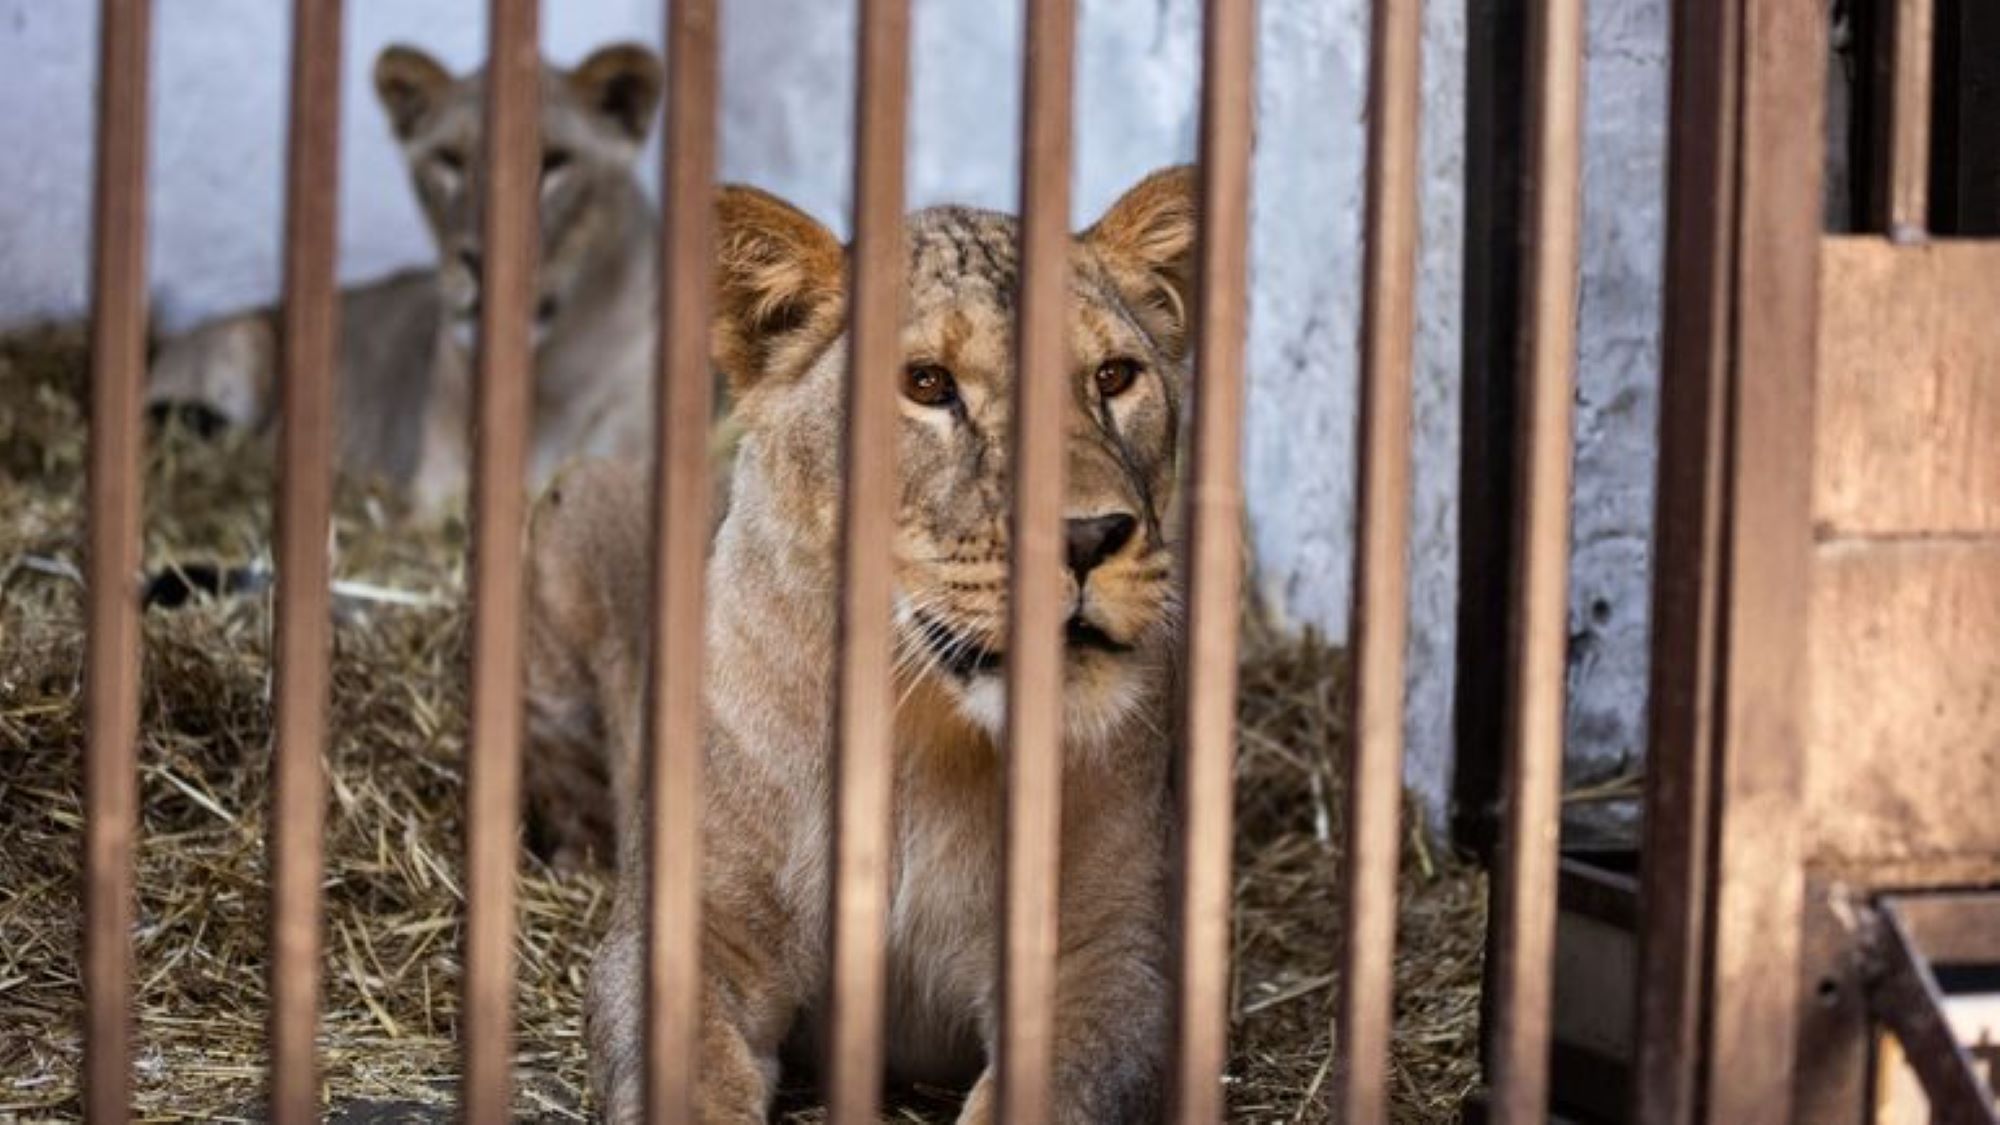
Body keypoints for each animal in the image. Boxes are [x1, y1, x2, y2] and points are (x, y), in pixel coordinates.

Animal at [145, 41, 672, 516]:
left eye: (554, 162)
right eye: (449, 159)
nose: (481, 260)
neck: (547, 369)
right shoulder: (432, 499)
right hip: (245, 335)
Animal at [520, 164, 1200, 1112]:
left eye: (1114, 375)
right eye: (928, 384)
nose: (1089, 537)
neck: (917, 731)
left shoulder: (1110, 965)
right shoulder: (691, 933)